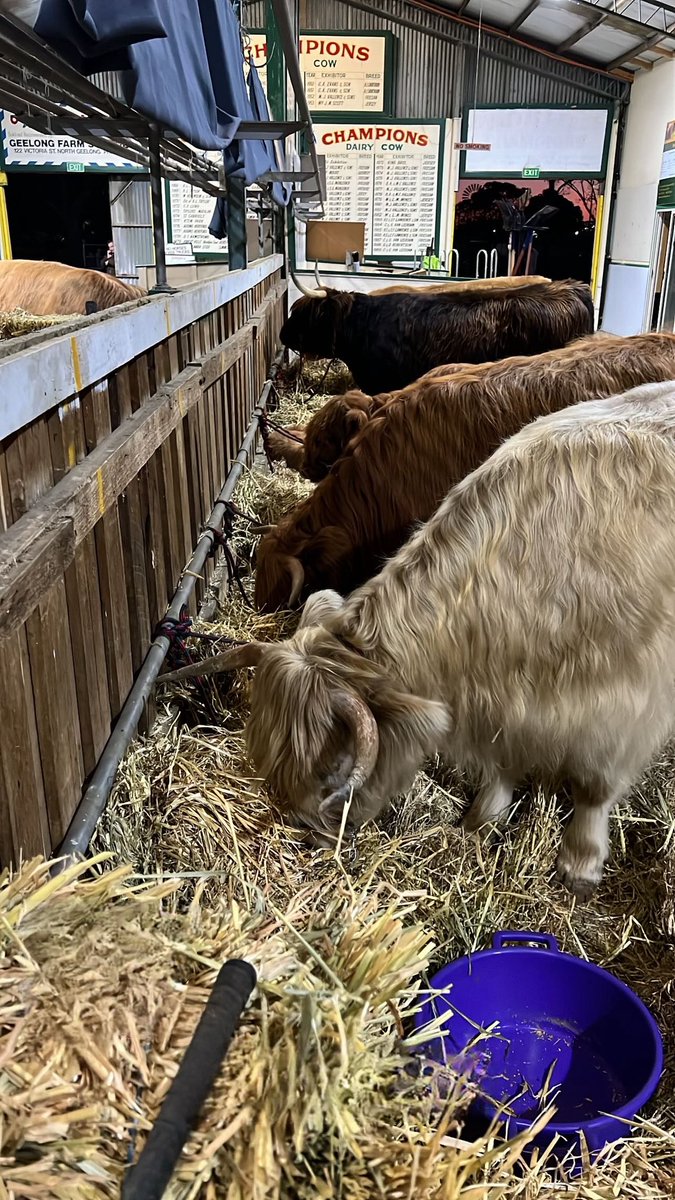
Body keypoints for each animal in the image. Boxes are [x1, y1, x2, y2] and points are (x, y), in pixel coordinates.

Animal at [160, 381, 675, 899]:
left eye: (332, 773)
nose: (310, 841)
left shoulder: (628, 699)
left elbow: (595, 785)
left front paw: (579, 863)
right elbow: (502, 762)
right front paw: (481, 822)